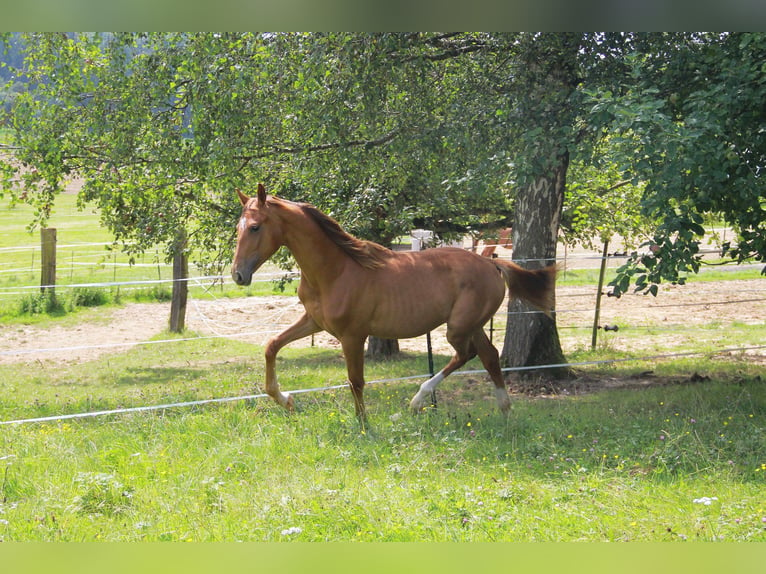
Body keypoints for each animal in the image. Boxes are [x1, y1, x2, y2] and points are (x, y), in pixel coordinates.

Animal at [231, 183, 556, 418]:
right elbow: (272, 345)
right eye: (238, 227)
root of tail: (491, 263)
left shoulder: (352, 335)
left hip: (459, 327)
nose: (238, 275)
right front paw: (284, 399)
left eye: (255, 227)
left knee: (468, 355)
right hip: (471, 325)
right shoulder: (314, 321)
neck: (335, 271)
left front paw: (363, 426)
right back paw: (503, 409)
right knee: (488, 355)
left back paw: (418, 401)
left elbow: (355, 381)